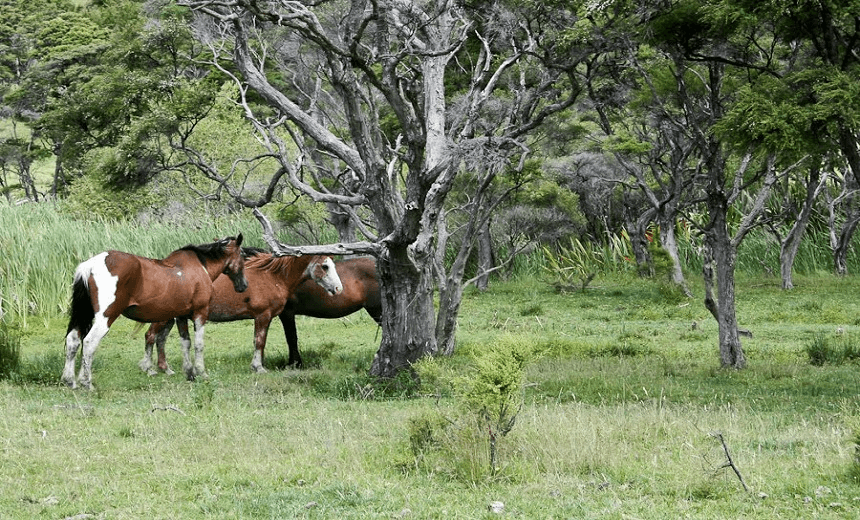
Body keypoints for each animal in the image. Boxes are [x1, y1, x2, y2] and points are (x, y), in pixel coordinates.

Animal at [62, 234, 247, 389]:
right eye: (243, 256)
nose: (243, 285)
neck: (200, 268)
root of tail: (91, 264)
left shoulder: (181, 316)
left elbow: (185, 343)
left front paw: (189, 373)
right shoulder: (200, 313)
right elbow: (198, 344)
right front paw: (201, 372)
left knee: (73, 340)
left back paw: (70, 380)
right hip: (106, 317)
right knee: (89, 342)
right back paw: (87, 382)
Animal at [140, 250, 345, 374]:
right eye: (325, 266)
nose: (338, 289)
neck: (272, 276)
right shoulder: (263, 315)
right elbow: (259, 341)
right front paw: (258, 367)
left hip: (169, 317)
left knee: (160, 339)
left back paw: (166, 369)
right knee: (150, 336)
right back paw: (149, 369)